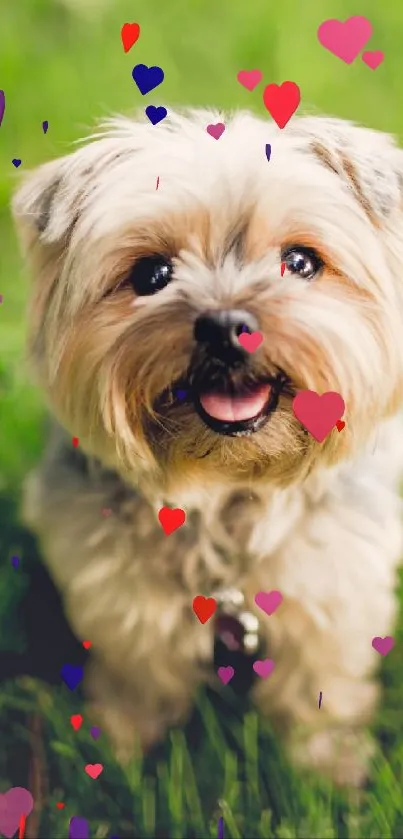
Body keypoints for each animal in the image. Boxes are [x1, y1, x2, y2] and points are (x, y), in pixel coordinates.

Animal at [11, 110, 403, 788]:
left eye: (301, 262)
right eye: (151, 275)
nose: (224, 325)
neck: (226, 486)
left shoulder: (332, 587)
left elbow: (320, 688)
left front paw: (328, 776)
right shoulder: (122, 598)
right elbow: (139, 681)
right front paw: (115, 760)